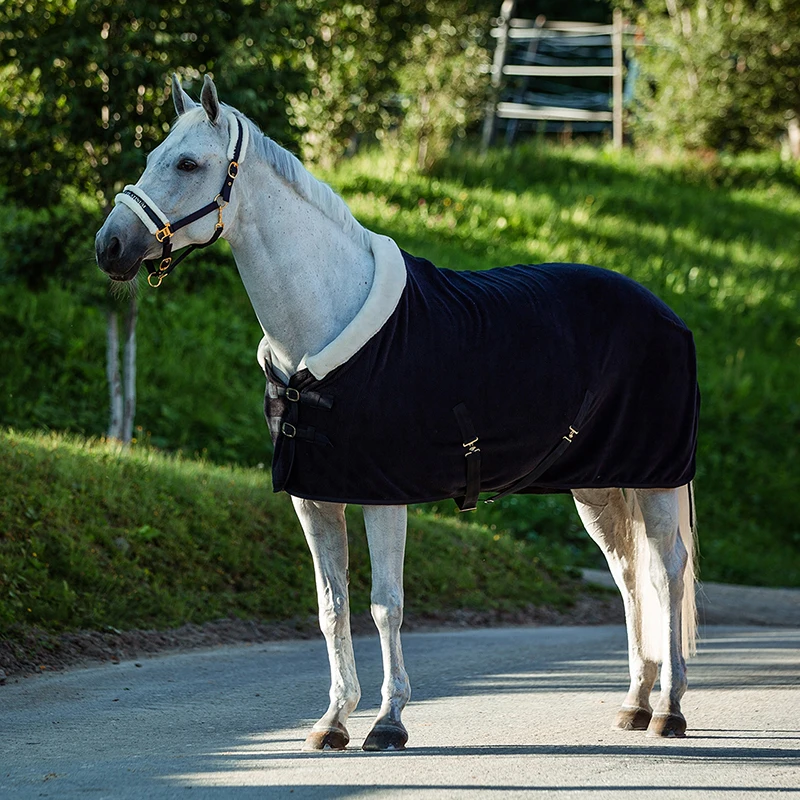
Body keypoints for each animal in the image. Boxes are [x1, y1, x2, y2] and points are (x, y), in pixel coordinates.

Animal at [96, 74, 699, 751]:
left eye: (188, 163)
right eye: (152, 156)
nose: (109, 246)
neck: (324, 321)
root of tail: (665, 313)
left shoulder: (384, 496)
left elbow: (386, 603)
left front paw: (387, 721)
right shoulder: (315, 497)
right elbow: (332, 606)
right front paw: (333, 720)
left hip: (653, 480)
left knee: (668, 572)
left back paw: (669, 709)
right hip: (598, 488)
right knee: (628, 575)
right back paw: (635, 703)